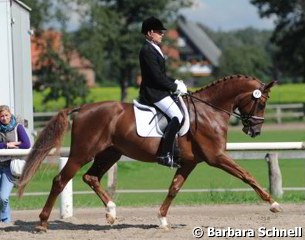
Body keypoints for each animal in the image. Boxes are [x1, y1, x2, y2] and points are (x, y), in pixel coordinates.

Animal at [17, 73, 280, 231]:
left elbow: (174, 188)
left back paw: (111, 213)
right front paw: (274, 204)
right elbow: (247, 175)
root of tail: (83, 108)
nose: (255, 131)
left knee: (91, 177)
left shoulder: (189, 163)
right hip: (82, 153)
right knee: (60, 180)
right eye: (261, 102)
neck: (209, 112)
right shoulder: (216, 157)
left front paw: (162, 219)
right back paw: (42, 223)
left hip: (109, 153)